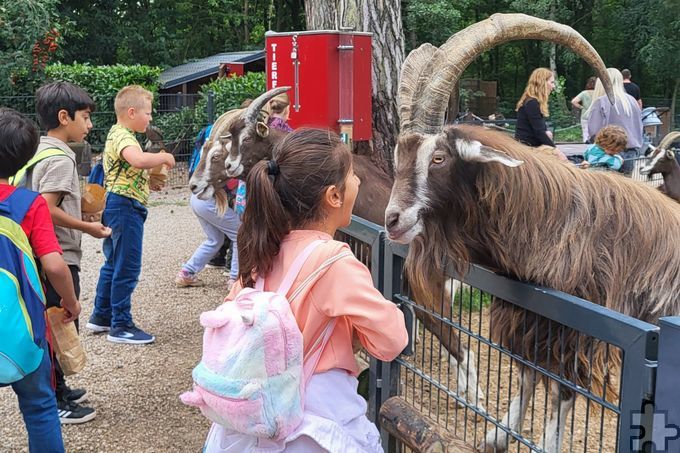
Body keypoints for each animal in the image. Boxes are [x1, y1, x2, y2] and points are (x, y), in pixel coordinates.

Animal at [390, 11, 628, 452]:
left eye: (438, 157)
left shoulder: (573, 330)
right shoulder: (530, 317)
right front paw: (496, 434)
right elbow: (529, 371)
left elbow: (561, 388)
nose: (392, 220)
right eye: (400, 154)